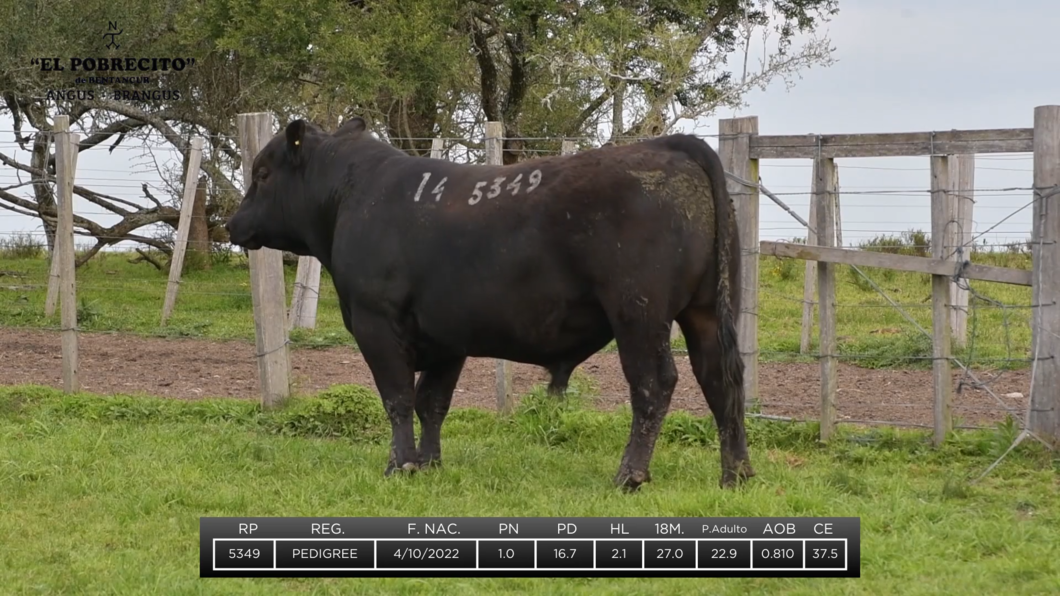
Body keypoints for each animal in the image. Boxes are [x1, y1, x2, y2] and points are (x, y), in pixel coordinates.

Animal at [223, 116, 754, 487]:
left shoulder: (376, 321)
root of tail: (667, 146)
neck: (353, 195)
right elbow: (431, 402)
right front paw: (430, 464)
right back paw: (736, 474)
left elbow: (397, 398)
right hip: (705, 311)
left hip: (638, 311)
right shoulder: (445, 336)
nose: (232, 224)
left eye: (263, 173)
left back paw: (630, 475)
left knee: (654, 383)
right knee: (721, 378)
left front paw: (400, 466)